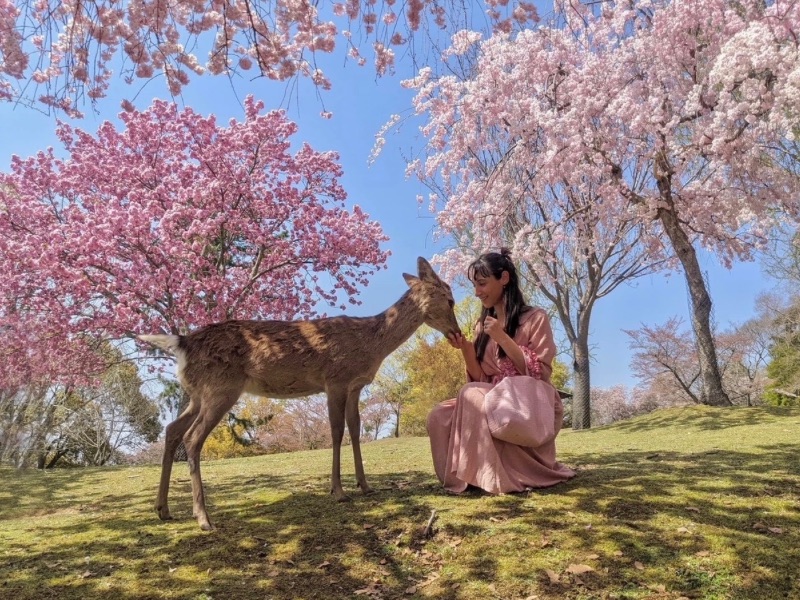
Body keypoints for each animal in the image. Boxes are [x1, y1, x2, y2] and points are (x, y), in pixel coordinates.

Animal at [141, 256, 460, 528]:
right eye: (450, 299)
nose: (457, 333)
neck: (371, 345)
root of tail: (182, 344)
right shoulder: (336, 379)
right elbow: (336, 431)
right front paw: (338, 490)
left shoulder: (355, 385)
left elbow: (355, 430)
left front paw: (365, 485)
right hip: (221, 387)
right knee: (192, 438)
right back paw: (203, 518)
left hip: (197, 393)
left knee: (172, 430)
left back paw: (163, 509)